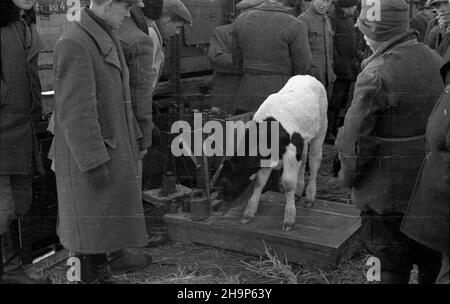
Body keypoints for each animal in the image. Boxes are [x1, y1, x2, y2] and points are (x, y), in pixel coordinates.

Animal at [218, 75, 326, 232]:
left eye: (224, 181)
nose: (224, 198)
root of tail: (308, 77)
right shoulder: (269, 157)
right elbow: (259, 182)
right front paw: (249, 213)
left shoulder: (291, 150)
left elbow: (288, 182)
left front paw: (289, 219)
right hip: (303, 140)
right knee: (304, 159)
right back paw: (298, 192)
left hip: (321, 129)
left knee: (314, 161)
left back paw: (310, 196)